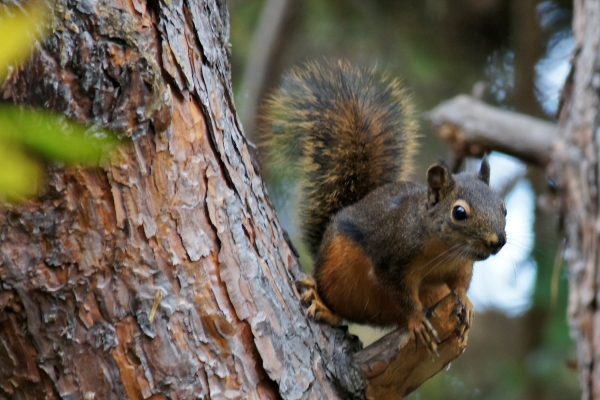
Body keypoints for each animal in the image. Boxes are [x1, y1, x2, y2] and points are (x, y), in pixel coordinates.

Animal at [262, 59, 506, 354]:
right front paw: (417, 320)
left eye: (504, 208)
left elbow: (459, 286)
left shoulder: (460, 267)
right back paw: (325, 308)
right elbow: (403, 296)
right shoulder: (391, 261)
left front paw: (466, 304)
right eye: (459, 213)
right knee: (340, 311)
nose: (498, 241)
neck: (443, 250)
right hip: (337, 274)